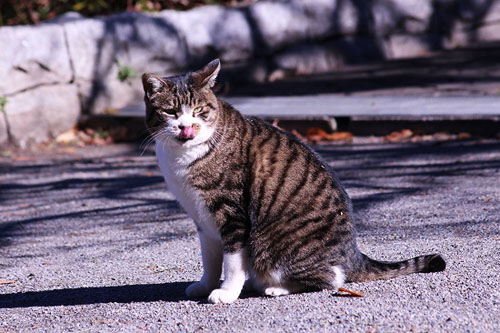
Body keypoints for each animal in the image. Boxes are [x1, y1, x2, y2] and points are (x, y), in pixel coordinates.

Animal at [142, 59, 446, 304]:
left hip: (272, 246)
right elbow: (211, 259)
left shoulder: (231, 214)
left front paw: (226, 292)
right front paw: (205, 286)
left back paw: (275, 287)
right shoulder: (202, 218)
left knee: (331, 278)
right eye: (171, 112)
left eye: (199, 110)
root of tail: (353, 252)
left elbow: (232, 261)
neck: (181, 157)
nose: (185, 126)